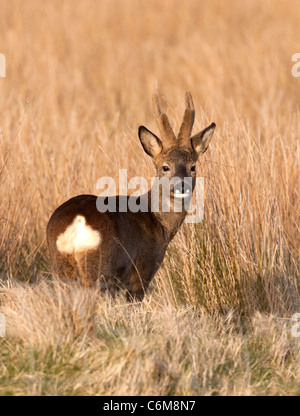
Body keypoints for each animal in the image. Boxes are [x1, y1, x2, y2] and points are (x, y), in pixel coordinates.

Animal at [46, 93, 216, 302]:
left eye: (193, 166)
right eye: (165, 167)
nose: (181, 185)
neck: (158, 223)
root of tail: (76, 223)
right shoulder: (141, 273)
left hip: (60, 267)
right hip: (98, 268)